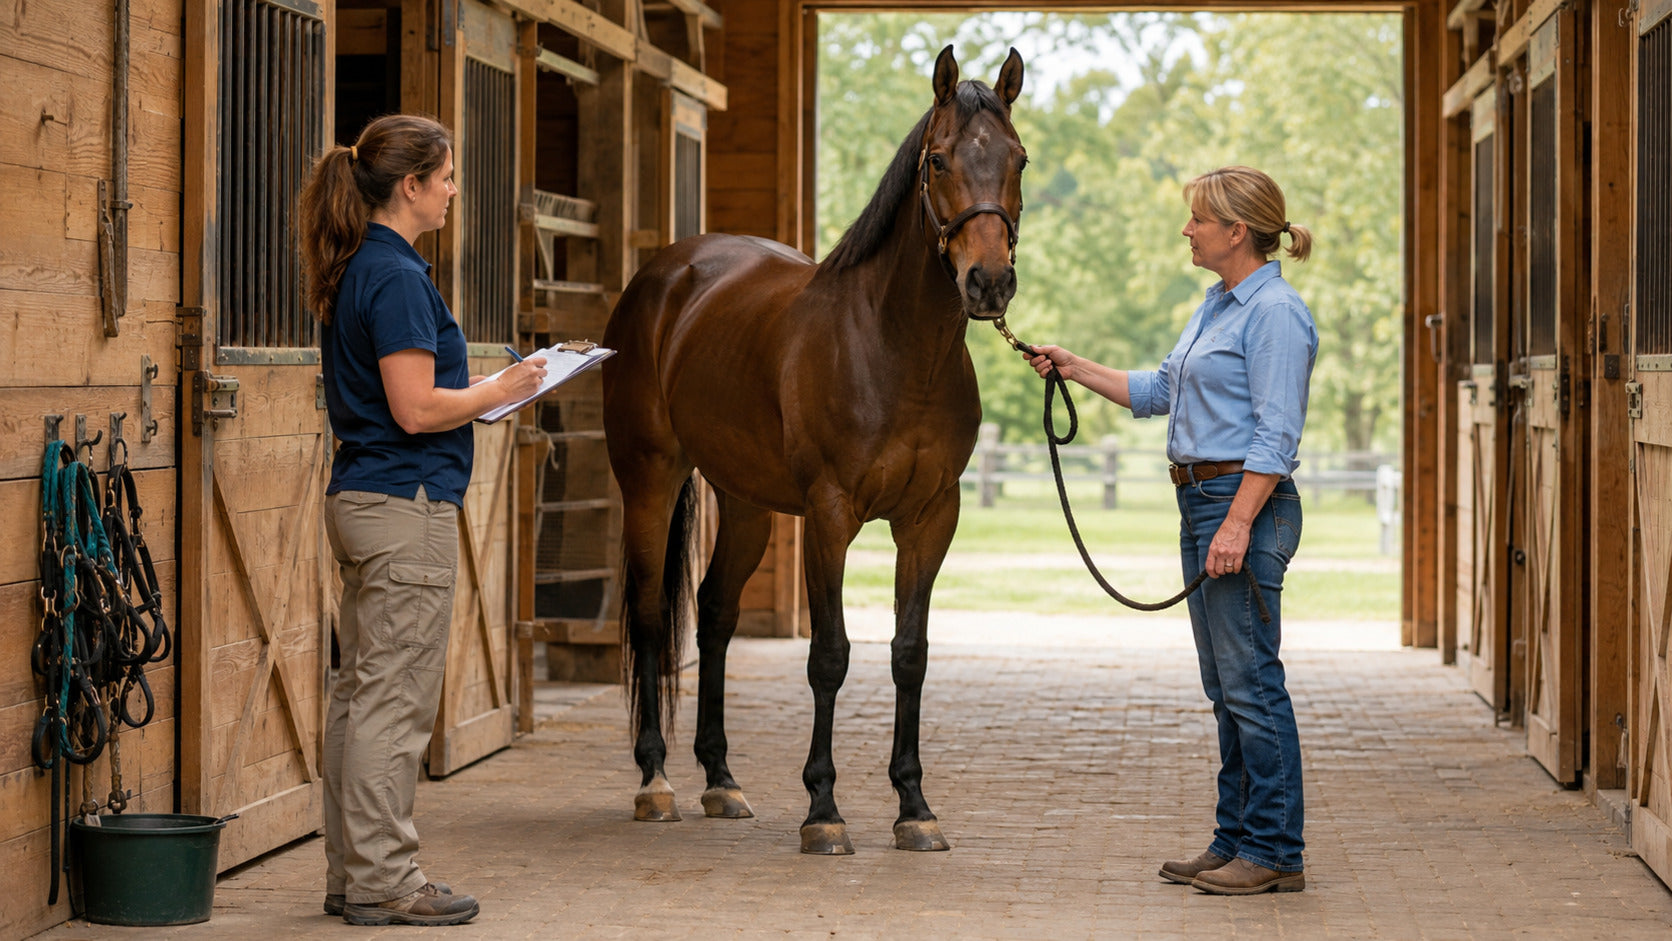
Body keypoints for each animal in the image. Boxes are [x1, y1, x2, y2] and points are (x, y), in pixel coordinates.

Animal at [601, 45, 1026, 855]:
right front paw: (824, 809)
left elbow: (909, 654)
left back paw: (721, 780)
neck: (895, 348)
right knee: (648, 614)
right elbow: (829, 655)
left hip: (744, 503)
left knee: (714, 614)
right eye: (939, 160)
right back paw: (654, 782)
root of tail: (665, 276)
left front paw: (914, 806)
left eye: (1018, 159)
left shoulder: (931, 518)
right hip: (650, 480)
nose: (988, 282)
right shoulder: (830, 516)